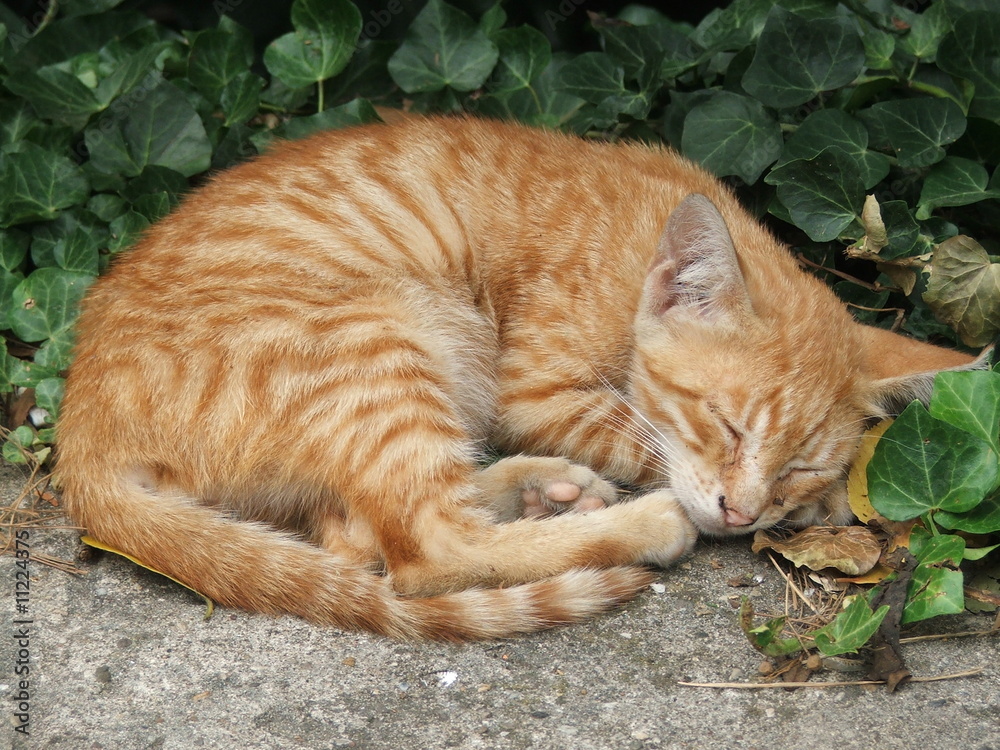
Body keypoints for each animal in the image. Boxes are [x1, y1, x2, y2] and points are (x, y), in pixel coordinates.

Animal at [56, 116, 976, 640]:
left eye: (802, 464)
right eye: (725, 424)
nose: (744, 512)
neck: (636, 237)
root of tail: (77, 434)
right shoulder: (534, 390)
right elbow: (636, 438)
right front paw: (725, 506)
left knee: (365, 534)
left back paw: (544, 491)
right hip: (386, 337)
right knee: (425, 549)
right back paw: (634, 523)